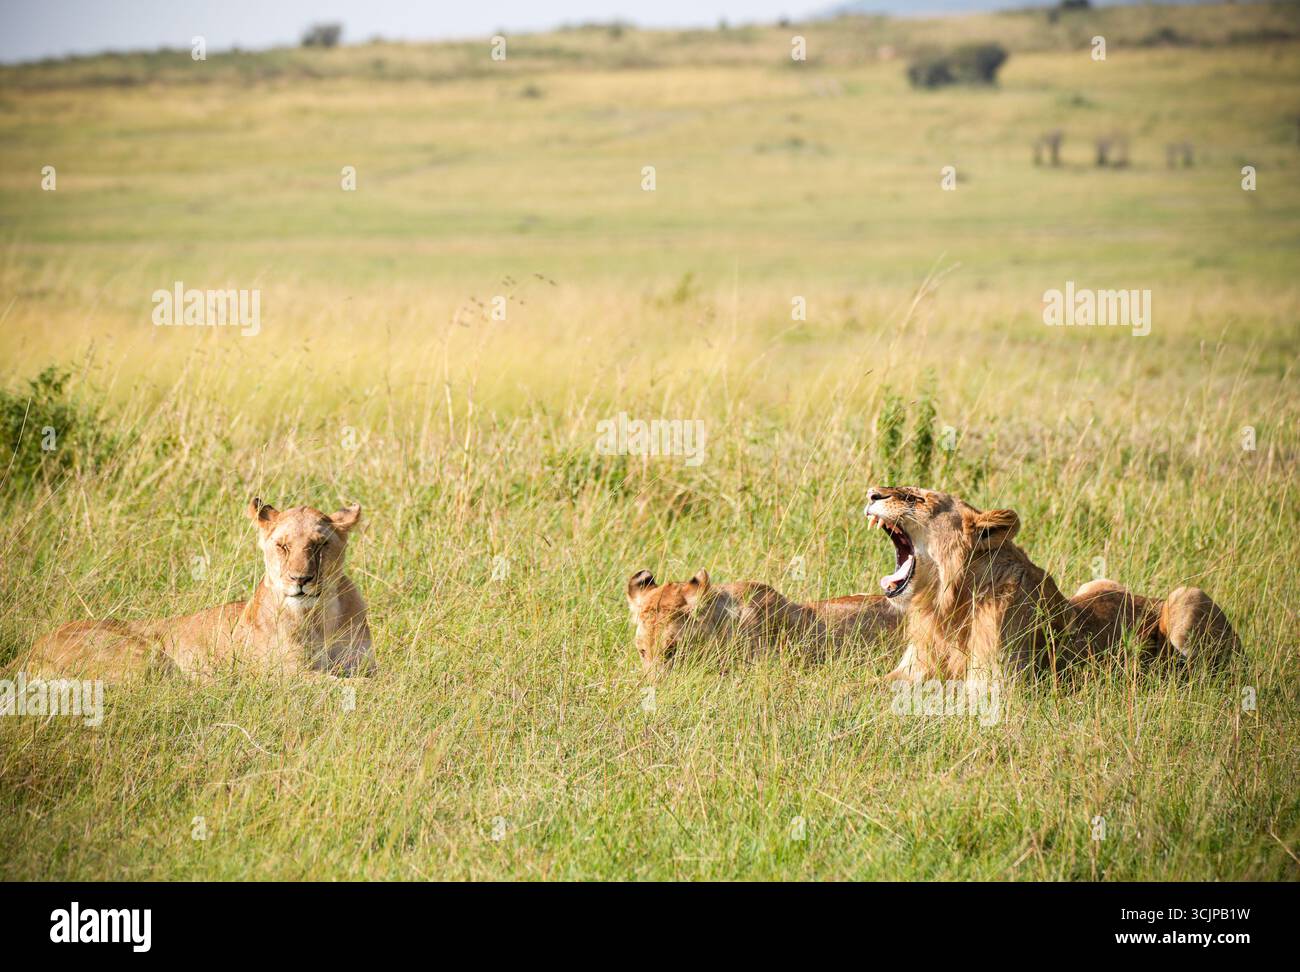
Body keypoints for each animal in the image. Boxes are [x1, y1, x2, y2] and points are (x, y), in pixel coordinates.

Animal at [24, 498, 376, 680]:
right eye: (283, 546)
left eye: (320, 545)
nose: (300, 579)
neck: (319, 617)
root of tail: (31, 648)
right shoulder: (288, 675)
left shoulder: (364, 664)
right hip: (142, 655)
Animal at [862, 486, 1240, 685]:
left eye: (916, 500)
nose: (872, 493)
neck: (944, 606)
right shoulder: (906, 669)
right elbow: (866, 685)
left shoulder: (999, 688)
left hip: (1186, 599)